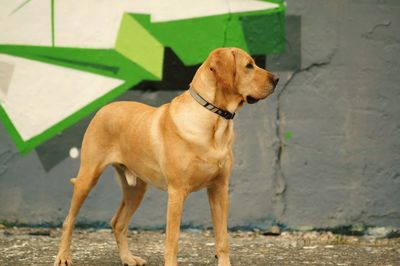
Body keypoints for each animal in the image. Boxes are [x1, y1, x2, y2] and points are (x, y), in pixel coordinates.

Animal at [54, 47, 278, 266]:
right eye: (248, 65)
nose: (276, 79)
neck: (213, 119)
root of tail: (104, 108)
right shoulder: (177, 193)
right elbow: (173, 241)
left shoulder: (219, 189)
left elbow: (222, 238)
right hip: (88, 177)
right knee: (69, 220)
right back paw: (63, 257)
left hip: (136, 189)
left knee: (118, 223)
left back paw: (128, 258)